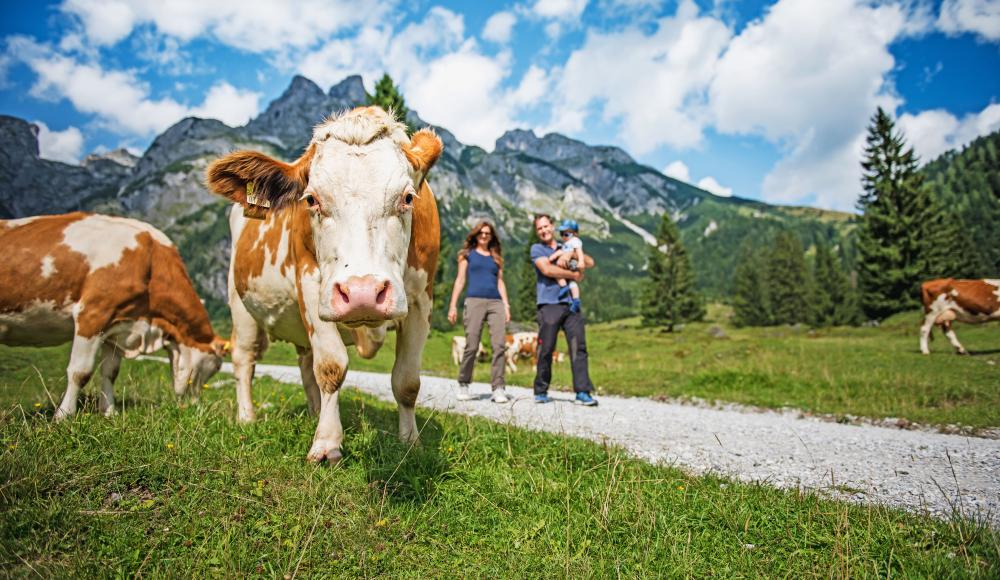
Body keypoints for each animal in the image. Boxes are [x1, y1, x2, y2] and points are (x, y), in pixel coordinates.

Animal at [0, 212, 227, 416]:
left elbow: (110, 372)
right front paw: (63, 415)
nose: (194, 405)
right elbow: (80, 372)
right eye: (216, 367)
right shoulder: (92, 314)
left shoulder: (117, 325)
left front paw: (109, 412)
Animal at [206, 106, 442, 464]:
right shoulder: (310, 283)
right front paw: (327, 444)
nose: (362, 294)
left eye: (407, 198)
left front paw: (410, 442)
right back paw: (247, 417)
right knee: (244, 359)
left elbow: (407, 381)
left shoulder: (419, 300)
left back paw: (316, 412)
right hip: (240, 304)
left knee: (306, 366)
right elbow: (331, 367)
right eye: (311, 200)